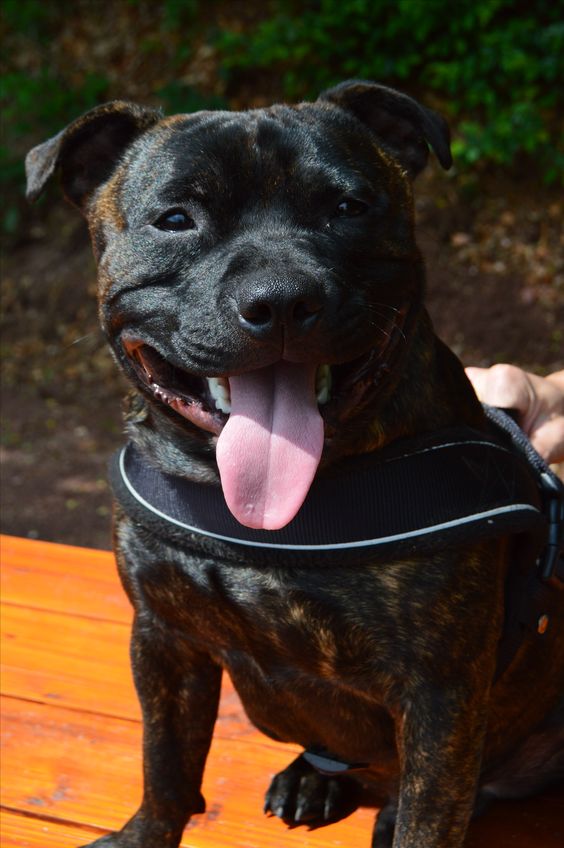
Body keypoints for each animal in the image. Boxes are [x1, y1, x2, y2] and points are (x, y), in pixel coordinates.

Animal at [27, 81, 564, 848]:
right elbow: (164, 763)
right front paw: (144, 833)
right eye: (175, 219)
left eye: (349, 207)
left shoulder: (443, 689)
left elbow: (430, 816)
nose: (280, 299)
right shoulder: (163, 638)